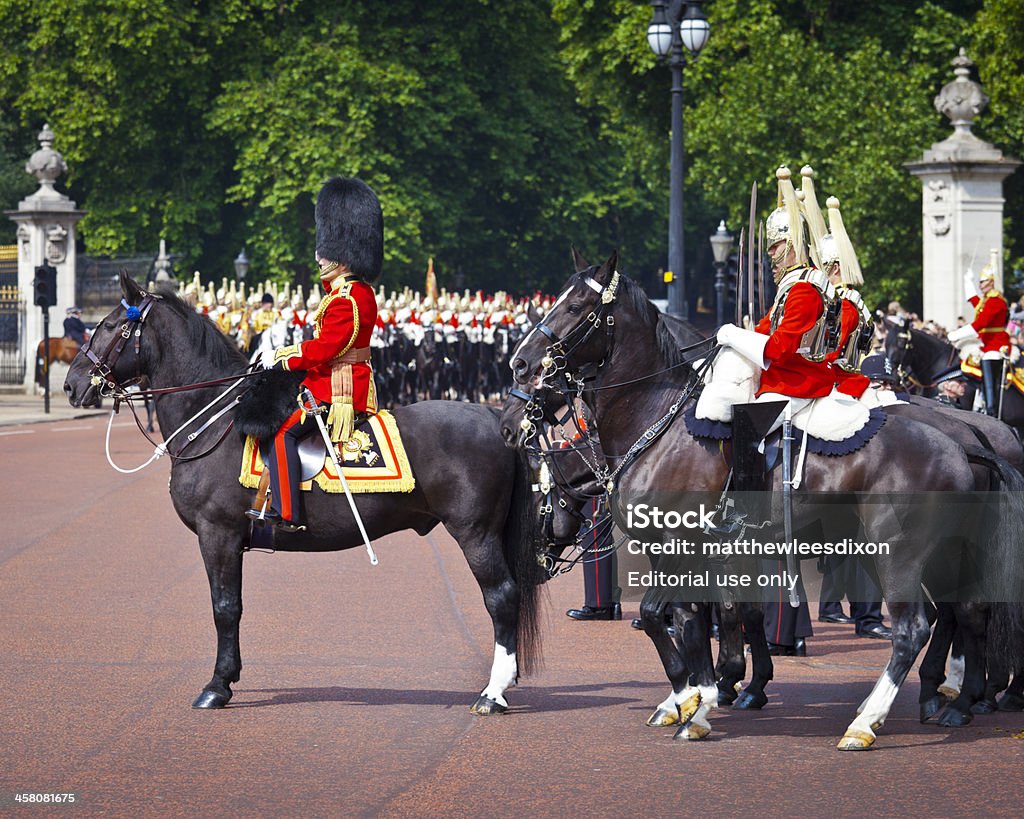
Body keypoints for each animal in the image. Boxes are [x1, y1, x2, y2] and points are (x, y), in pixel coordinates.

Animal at [61, 272, 552, 712]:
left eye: (110, 325)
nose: (71, 384)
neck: (213, 422)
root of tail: (494, 417)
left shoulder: (217, 533)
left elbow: (225, 607)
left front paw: (217, 686)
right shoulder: (227, 537)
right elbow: (231, 605)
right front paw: (227, 678)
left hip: (475, 533)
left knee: (502, 598)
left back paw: (492, 694)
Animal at [503, 252, 1024, 753]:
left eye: (576, 307)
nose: (520, 367)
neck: (656, 423)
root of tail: (965, 442)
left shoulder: (683, 542)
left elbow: (667, 615)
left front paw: (700, 695)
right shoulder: (687, 549)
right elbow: (695, 617)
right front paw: (697, 698)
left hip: (899, 551)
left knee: (915, 626)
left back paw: (872, 721)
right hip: (928, 552)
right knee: (961, 611)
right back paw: (951, 700)